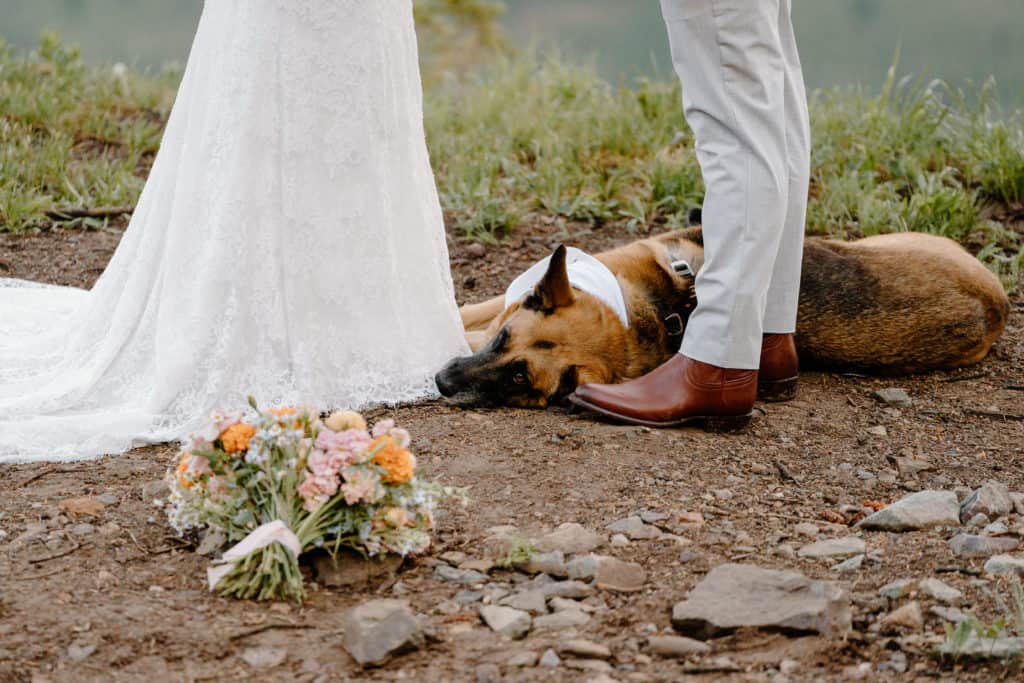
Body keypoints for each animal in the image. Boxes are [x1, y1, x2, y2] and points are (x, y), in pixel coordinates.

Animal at [436, 225, 1011, 405]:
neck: (645, 311)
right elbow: (478, 312)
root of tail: (997, 307)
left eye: (518, 377)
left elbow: (471, 318)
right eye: (506, 341)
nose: (441, 382)